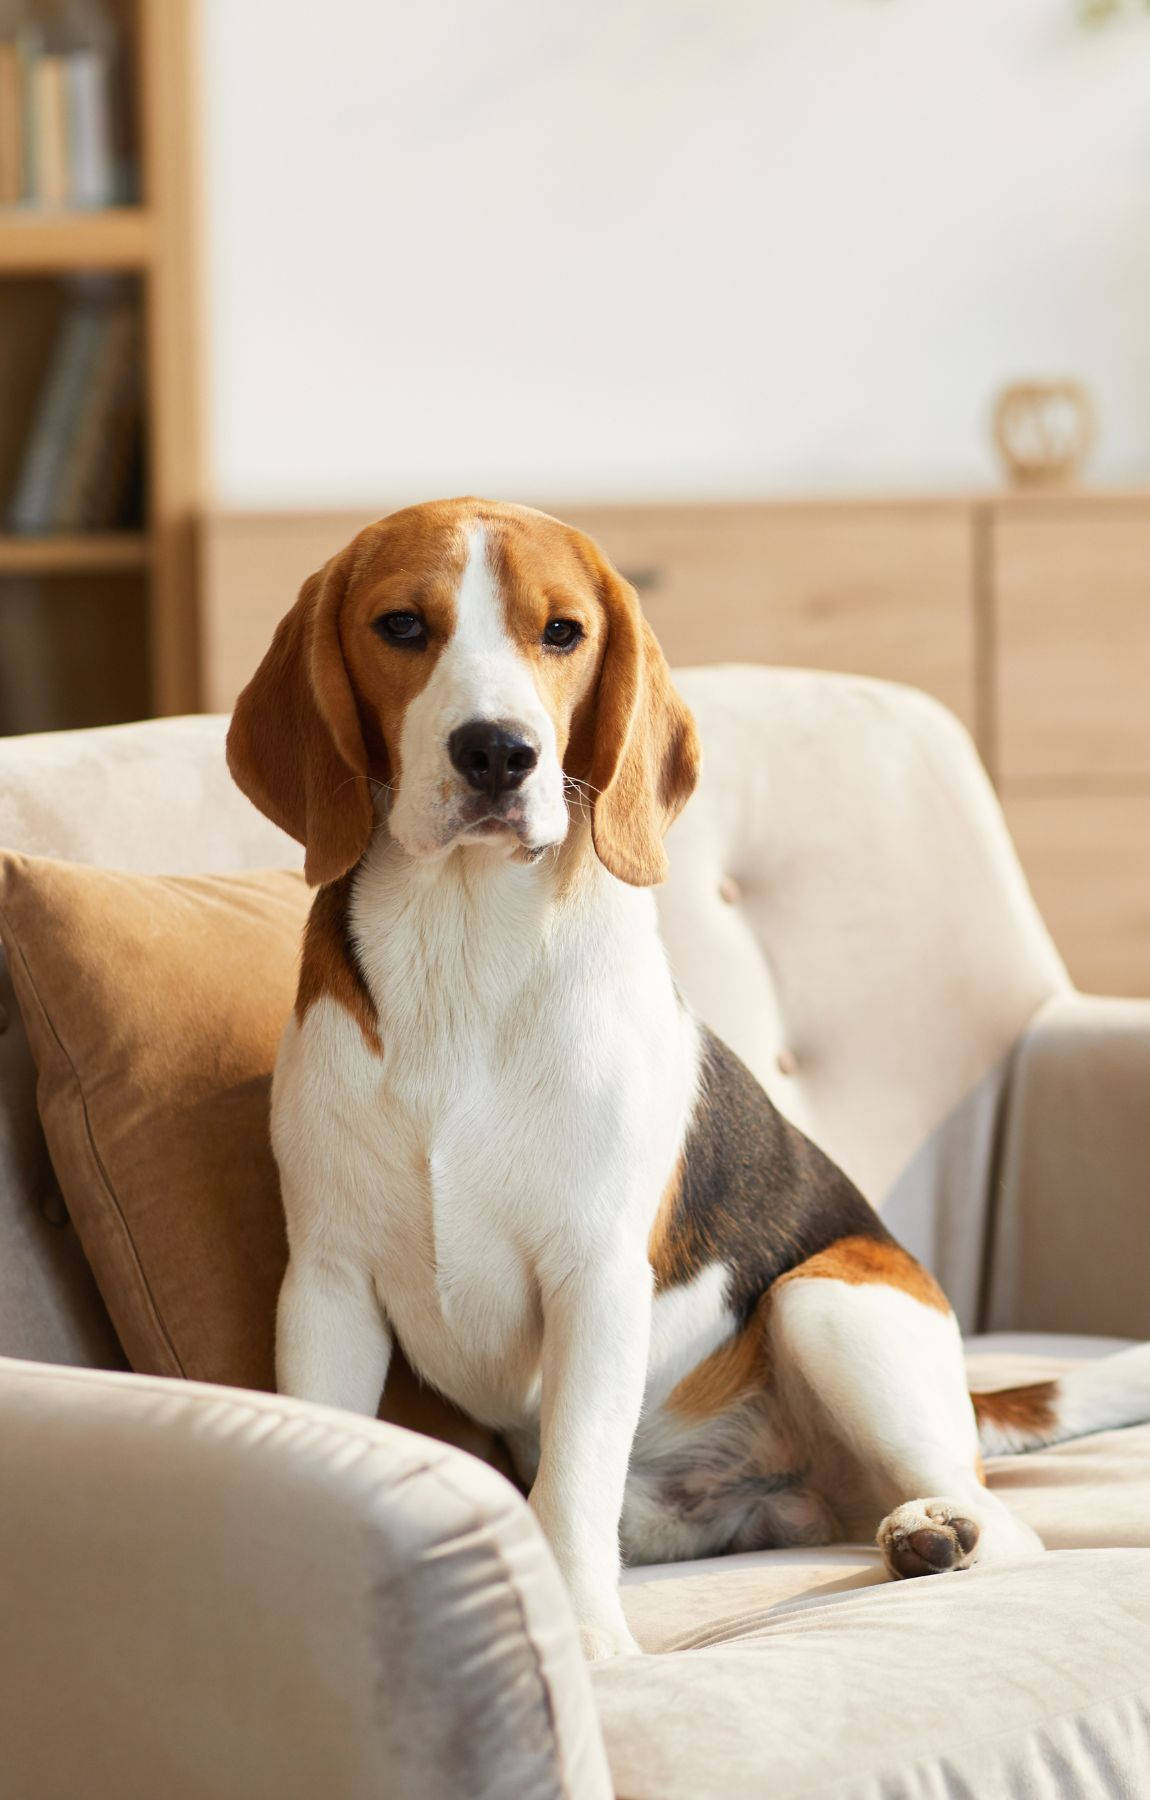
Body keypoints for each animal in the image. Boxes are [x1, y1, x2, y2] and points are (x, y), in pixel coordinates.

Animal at [229, 496, 1150, 1656]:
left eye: (563, 632)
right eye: (400, 625)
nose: (498, 752)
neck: (464, 942)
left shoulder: (595, 1279)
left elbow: (569, 1485)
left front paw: (590, 1645)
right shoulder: (328, 1284)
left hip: (825, 1302)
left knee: (1005, 1523)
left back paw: (937, 1534)